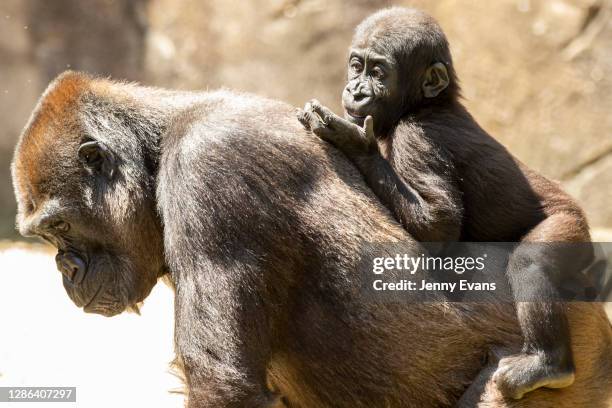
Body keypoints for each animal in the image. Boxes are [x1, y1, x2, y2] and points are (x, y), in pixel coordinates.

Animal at [10, 71, 612, 406]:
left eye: (59, 227)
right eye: (46, 237)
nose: (66, 269)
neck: (161, 139)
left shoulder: (211, 167)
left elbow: (223, 384)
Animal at [298, 7, 596, 402]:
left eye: (377, 73)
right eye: (356, 66)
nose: (355, 90)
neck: (428, 103)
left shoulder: (417, 138)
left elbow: (440, 224)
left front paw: (354, 142)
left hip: (570, 225)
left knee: (531, 264)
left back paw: (548, 365)